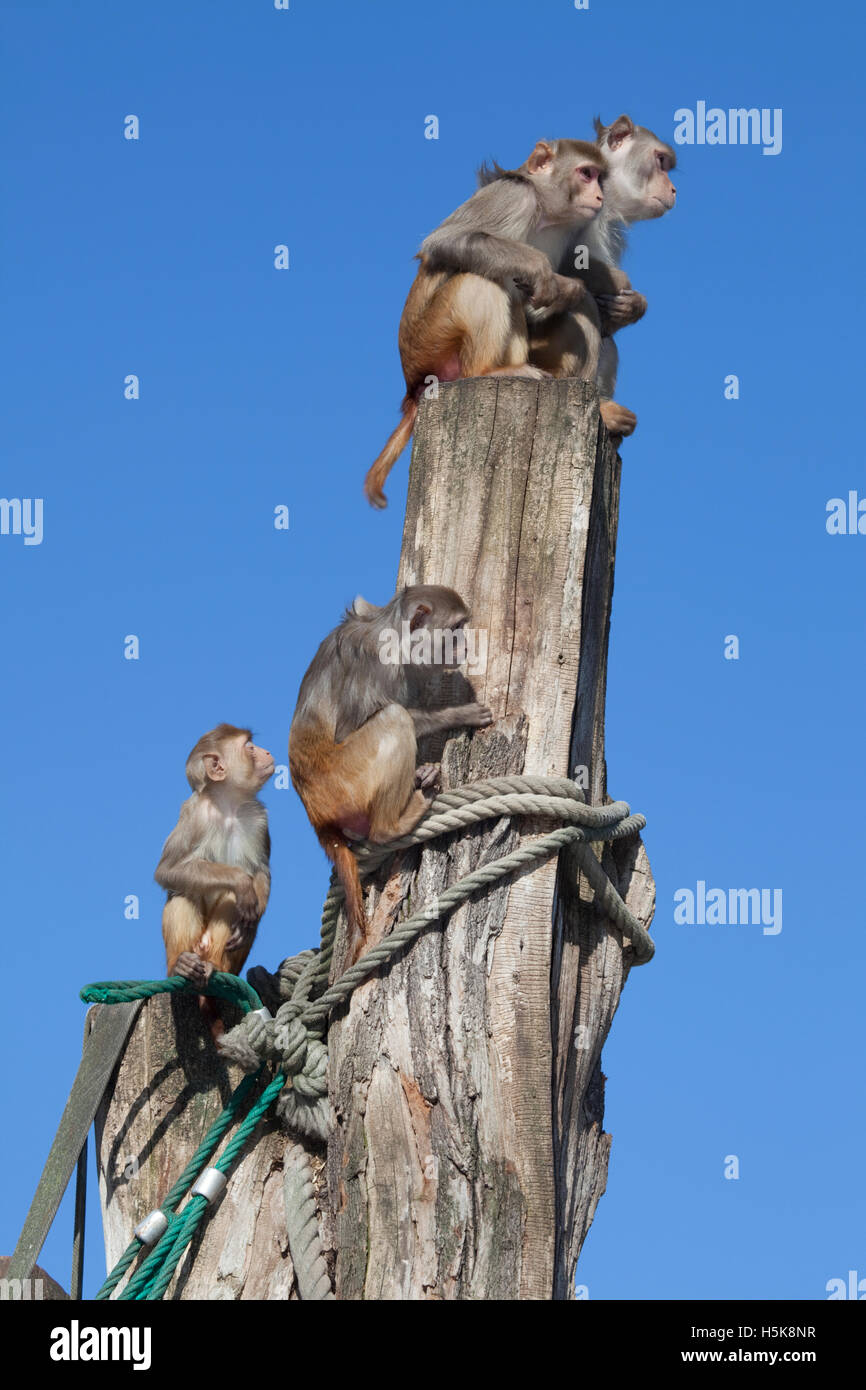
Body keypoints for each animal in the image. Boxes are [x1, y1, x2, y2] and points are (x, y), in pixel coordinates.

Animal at [155, 728, 273, 1034]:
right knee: (184, 891)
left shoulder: (258, 818)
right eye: (249, 747)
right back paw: (180, 965)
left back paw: (214, 967)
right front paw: (239, 881)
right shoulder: (193, 813)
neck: (228, 805)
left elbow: (261, 871)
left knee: (234, 904)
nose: (267, 752)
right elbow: (167, 870)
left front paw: (249, 918)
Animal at [289, 586, 492, 967]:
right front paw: (457, 714)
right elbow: (356, 725)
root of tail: (317, 817)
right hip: (344, 783)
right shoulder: (379, 667)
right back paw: (391, 825)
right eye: (456, 628)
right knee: (395, 717)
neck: (393, 636)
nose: (466, 645)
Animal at [366, 139, 617, 511]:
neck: (544, 212)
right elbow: (445, 240)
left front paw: (566, 290)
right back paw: (489, 370)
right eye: (587, 174)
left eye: (601, 178)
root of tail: (412, 386)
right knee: (482, 279)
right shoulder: (513, 197)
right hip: (431, 341)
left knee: (575, 309)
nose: (599, 196)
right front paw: (541, 269)